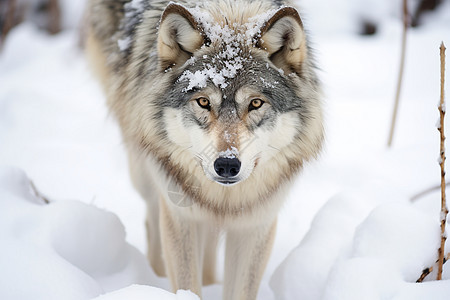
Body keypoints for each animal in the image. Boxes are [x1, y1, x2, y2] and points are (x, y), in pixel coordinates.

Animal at [85, 1, 324, 298]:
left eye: (256, 103)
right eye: (203, 102)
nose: (227, 165)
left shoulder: (256, 223)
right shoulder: (181, 215)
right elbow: (187, 282)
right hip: (141, 165)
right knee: (152, 219)